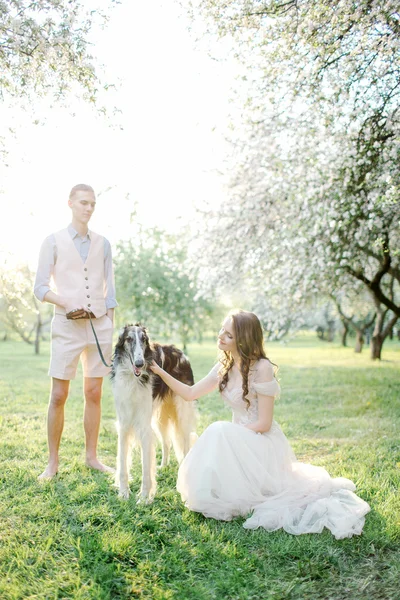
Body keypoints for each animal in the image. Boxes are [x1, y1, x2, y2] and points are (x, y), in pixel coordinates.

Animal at [111, 324, 197, 502]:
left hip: (182, 412)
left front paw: (144, 497)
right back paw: (163, 465)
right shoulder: (124, 424)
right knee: (167, 442)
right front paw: (123, 493)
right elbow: (123, 465)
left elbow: (146, 468)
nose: (140, 363)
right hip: (160, 418)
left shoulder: (144, 426)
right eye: (129, 339)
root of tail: (180, 352)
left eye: (144, 339)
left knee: (185, 444)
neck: (132, 378)